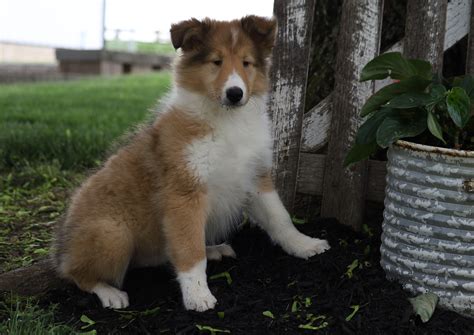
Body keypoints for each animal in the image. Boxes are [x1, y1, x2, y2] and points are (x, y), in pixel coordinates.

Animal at [53, 15, 330, 312]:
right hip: (113, 234)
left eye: (247, 62)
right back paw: (110, 293)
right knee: (77, 274)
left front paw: (304, 244)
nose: (235, 93)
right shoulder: (184, 194)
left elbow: (280, 217)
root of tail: (63, 248)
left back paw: (214, 248)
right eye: (216, 61)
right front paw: (197, 295)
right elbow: (190, 252)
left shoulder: (256, 177)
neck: (226, 121)